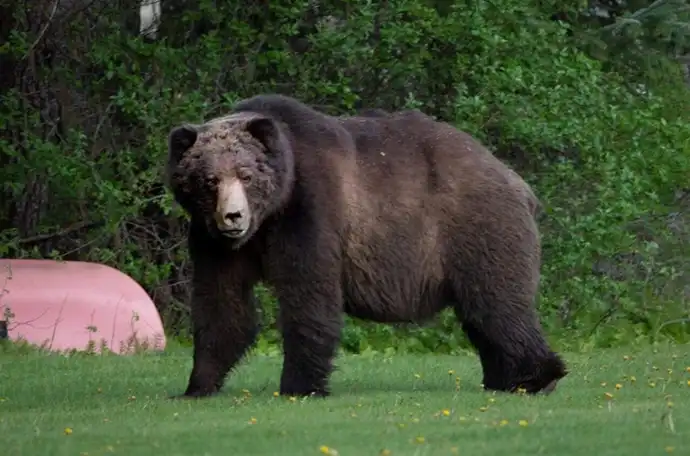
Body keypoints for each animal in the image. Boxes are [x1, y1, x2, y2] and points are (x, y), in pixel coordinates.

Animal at [165, 94, 568, 399]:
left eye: (246, 175)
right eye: (209, 179)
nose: (232, 216)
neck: (269, 214)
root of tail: (518, 182)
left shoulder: (310, 210)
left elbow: (308, 295)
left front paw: (300, 385)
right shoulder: (215, 242)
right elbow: (223, 304)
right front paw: (197, 385)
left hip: (477, 227)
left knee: (497, 304)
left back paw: (538, 377)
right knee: (481, 315)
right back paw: (504, 379)